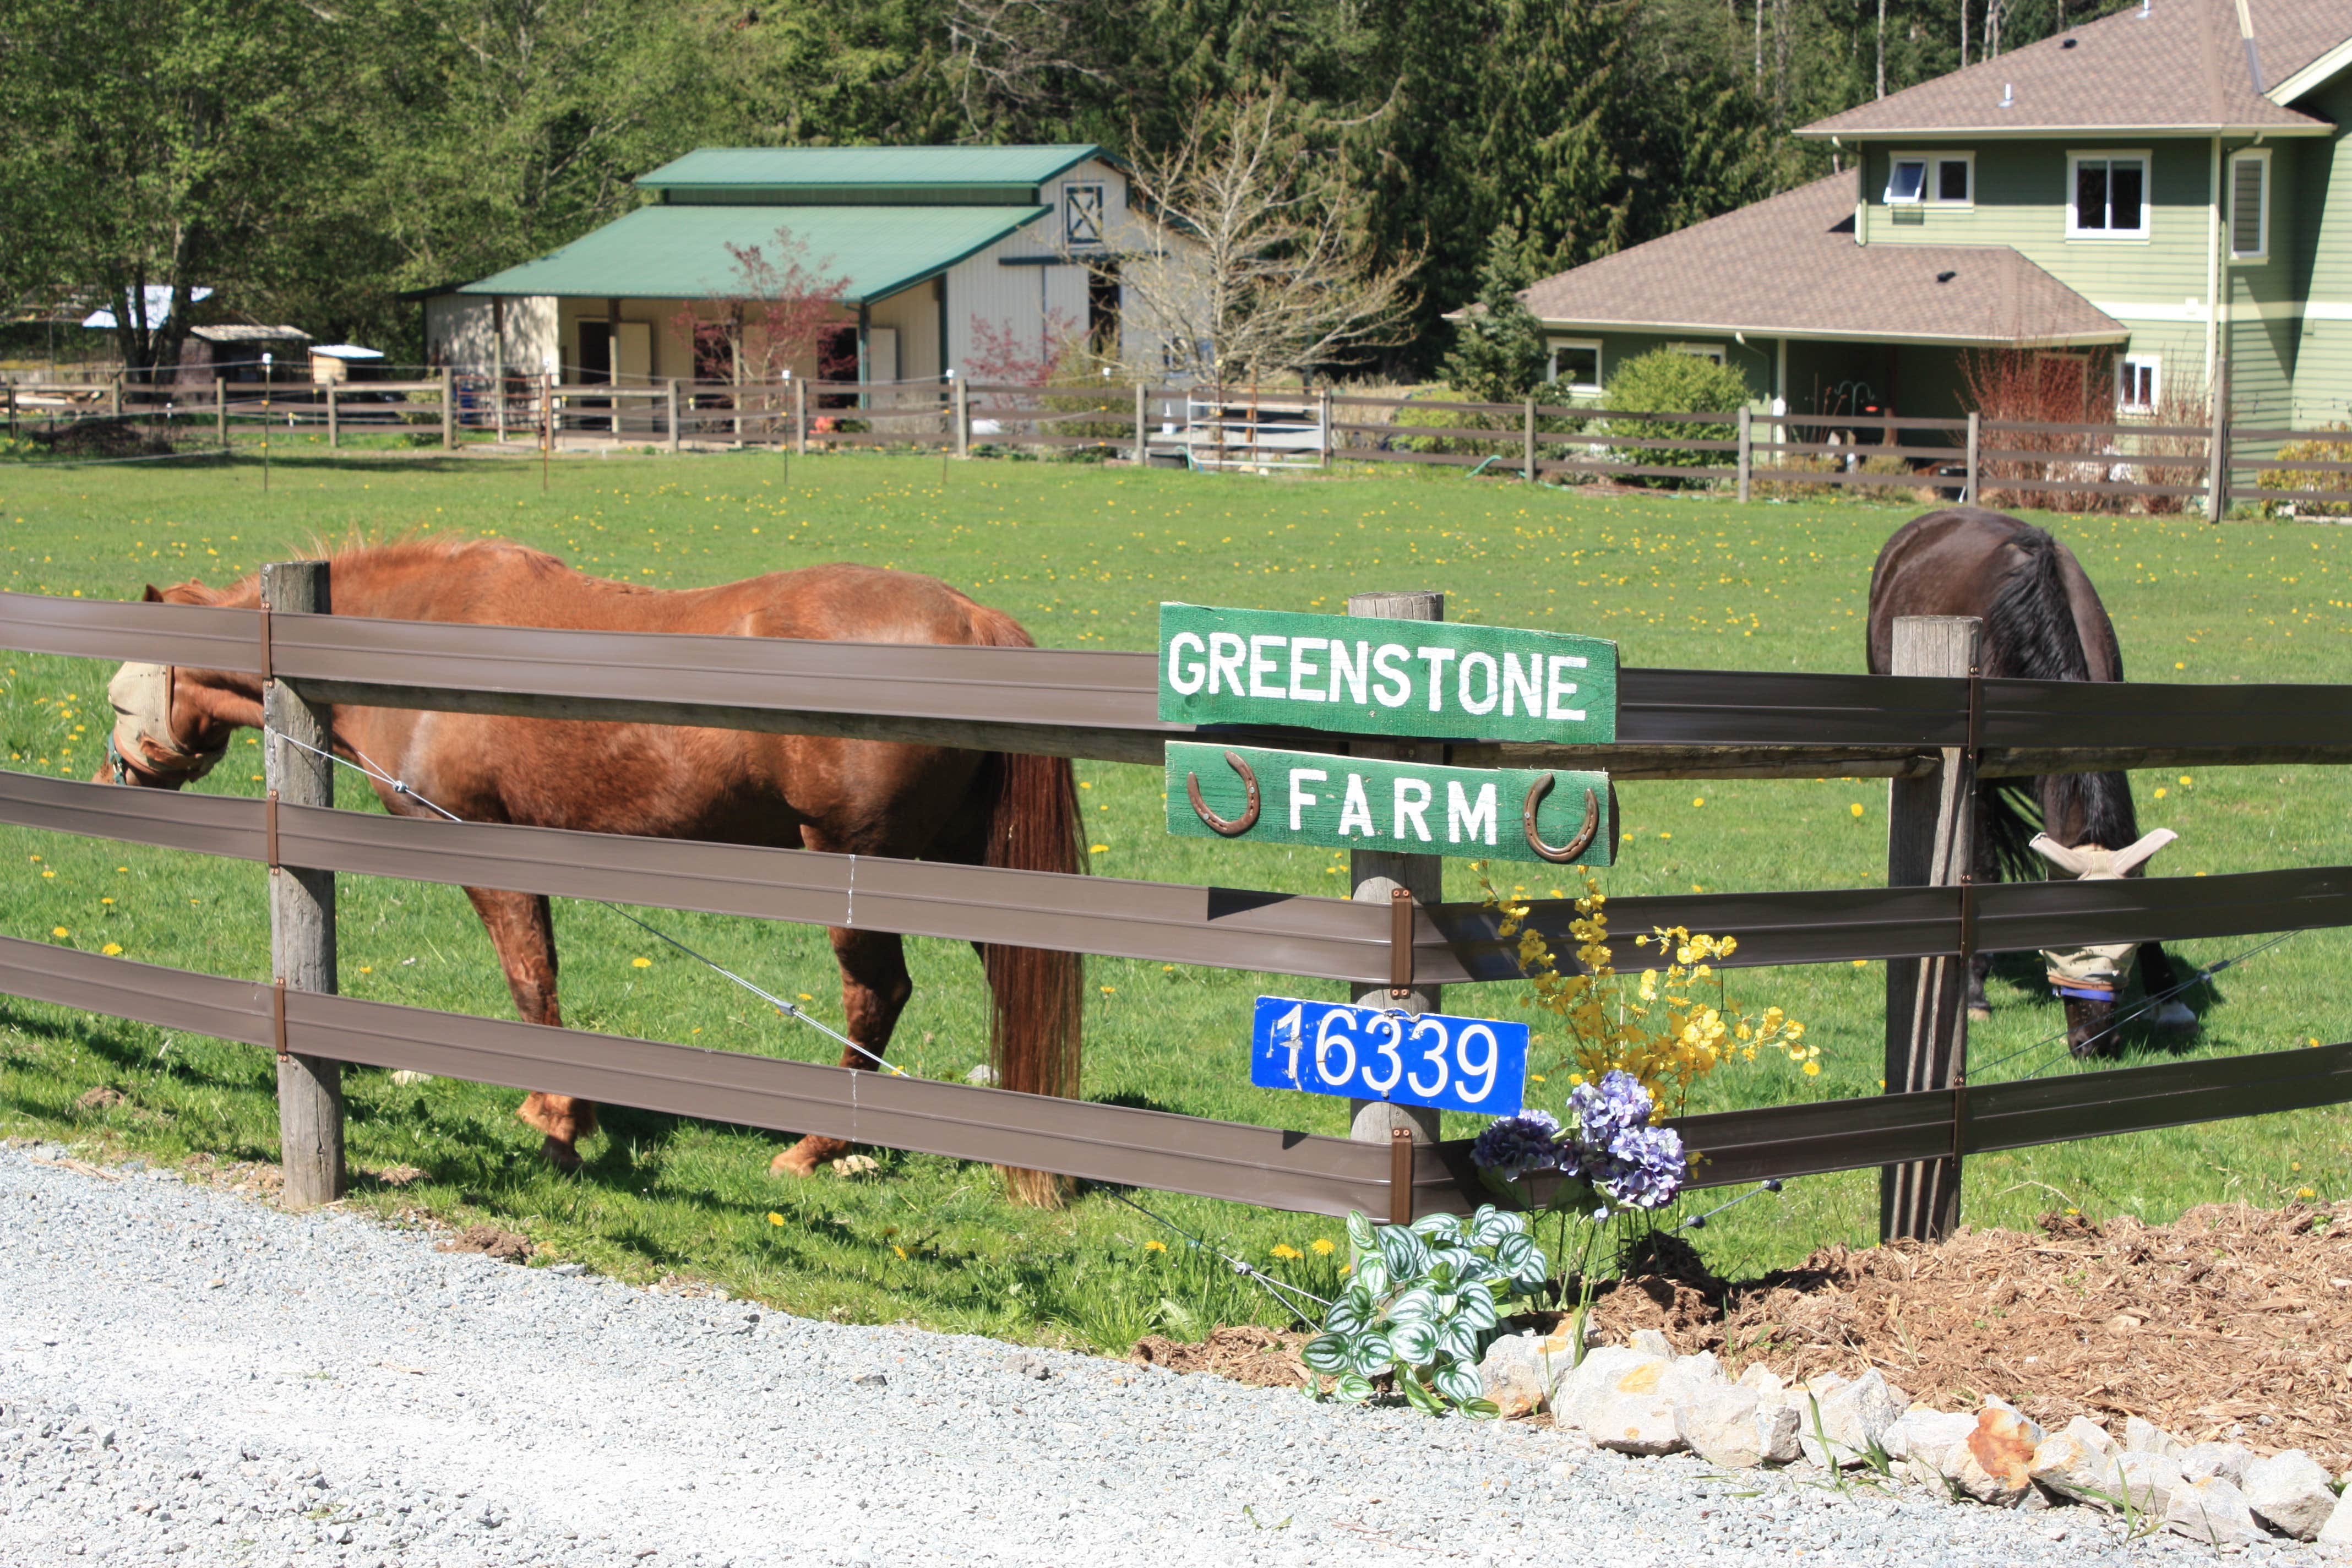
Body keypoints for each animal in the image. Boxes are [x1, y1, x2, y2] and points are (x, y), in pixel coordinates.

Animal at [95, 537, 1085, 1203]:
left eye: (117, 693)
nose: (112, 778)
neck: (420, 632)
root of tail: (973, 620)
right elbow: (542, 975)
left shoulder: (484, 846)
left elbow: (530, 982)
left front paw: (559, 1125)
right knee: (1007, 981)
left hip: (860, 867)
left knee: (877, 996)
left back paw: (814, 1148)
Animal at [1865, 507, 2195, 1057]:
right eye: (2059, 942)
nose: (2096, 1042)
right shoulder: (1976, 779)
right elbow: (1983, 869)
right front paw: (1975, 992)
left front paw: (2170, 998)